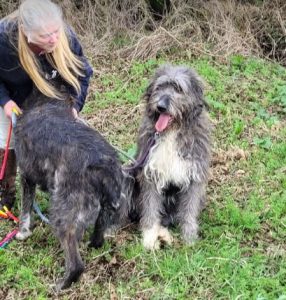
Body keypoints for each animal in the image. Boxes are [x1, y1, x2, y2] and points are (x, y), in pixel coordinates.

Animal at [13, 90, 124, 290]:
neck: (48, 101)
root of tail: (104, 165)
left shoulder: (26, 176)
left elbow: (25, 209)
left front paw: (22, 233)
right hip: (105, 211)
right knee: (98, 239)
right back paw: (92, 245)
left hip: (63, 216)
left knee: (76, 264)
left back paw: (60, 285)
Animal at [131, 64, 211, 250]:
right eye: (159, 87)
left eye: (178, 89)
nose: (160, 106)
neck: (172, 132)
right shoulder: (150, 174)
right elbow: (150, 208)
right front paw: (149, 237)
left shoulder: (195, 177)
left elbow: (188, 211)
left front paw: (189, 238)